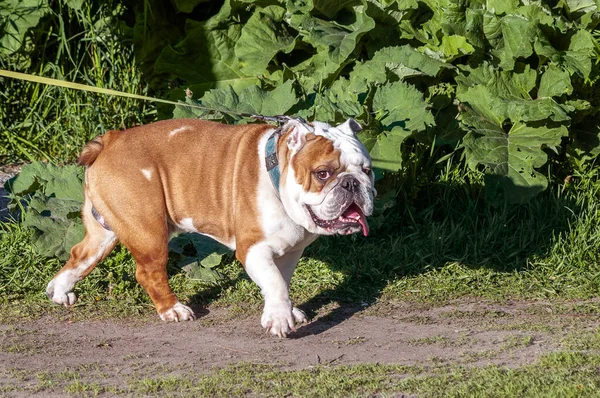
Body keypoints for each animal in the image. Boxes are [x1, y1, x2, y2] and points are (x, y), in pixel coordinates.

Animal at [47, 117, 376, 336]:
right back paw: (173, 310)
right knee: (148, 273)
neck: (277, 171)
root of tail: (110, 140)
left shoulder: (291, 251)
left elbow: (281, 280)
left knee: (80, 255)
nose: (352, 183)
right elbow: (274, 282)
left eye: (367, 170)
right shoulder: (254, 249)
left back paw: (59, 291)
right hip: (148, 230)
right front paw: (280, 319)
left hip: (105, 230)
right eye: (323, 174)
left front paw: (285, 310)